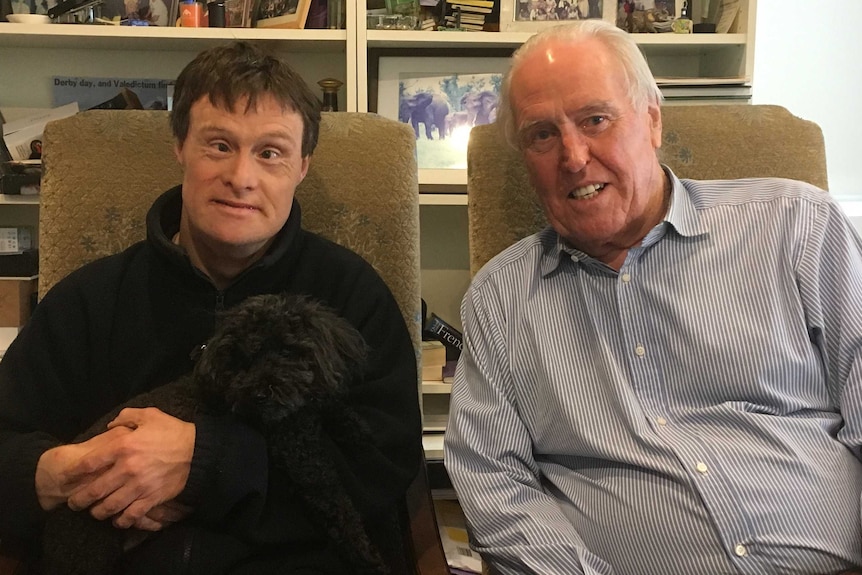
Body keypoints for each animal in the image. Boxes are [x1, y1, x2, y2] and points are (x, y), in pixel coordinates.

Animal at [43, 294, 388, 572]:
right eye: (240, 360)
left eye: (287, 351)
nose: (260, 394)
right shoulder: (303, 460)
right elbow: (338, 509)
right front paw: (368, 558)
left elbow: (326, 403)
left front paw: (357, 430)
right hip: (87, 551)